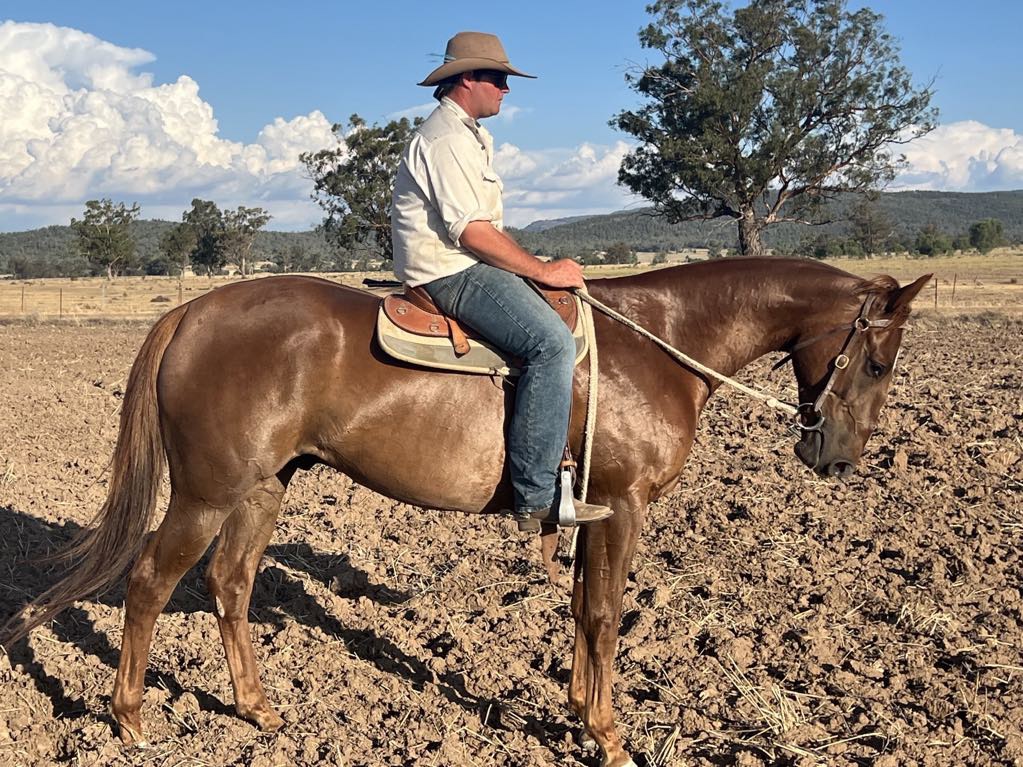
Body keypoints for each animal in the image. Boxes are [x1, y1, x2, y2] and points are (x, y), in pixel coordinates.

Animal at [2, 257, 929, 767]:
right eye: (879, 360)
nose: (836, 456)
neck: (656, 344)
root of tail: (194, 308)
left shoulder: (589, 513)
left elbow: (581, 613)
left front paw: (578, 712)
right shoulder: (620, 508)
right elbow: (604, 614)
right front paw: (608, 734)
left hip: (265, 485)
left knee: (230, 582)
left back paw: (258, 708)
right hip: (205, 492)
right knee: (151, 581)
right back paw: (131, 720)